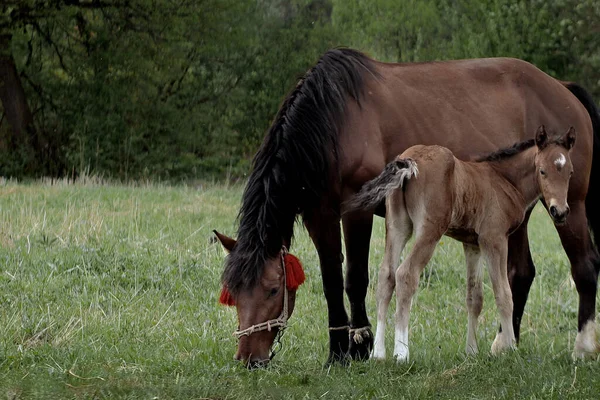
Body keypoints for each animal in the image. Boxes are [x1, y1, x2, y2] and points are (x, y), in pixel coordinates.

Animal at [346, 126, 576, 360]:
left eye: (570, 173)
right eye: (542, 171)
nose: (560, 212)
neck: (503, 180)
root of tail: (408, 161)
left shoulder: (472, 244)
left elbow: (474, 297)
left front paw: (471, 351)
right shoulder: (494, 239)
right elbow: (504, 294)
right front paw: (509, 349)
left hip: (397, 226)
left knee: (386, 276)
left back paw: (378, 353)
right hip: (430, 230)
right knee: (406, 274)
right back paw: (401, 353)